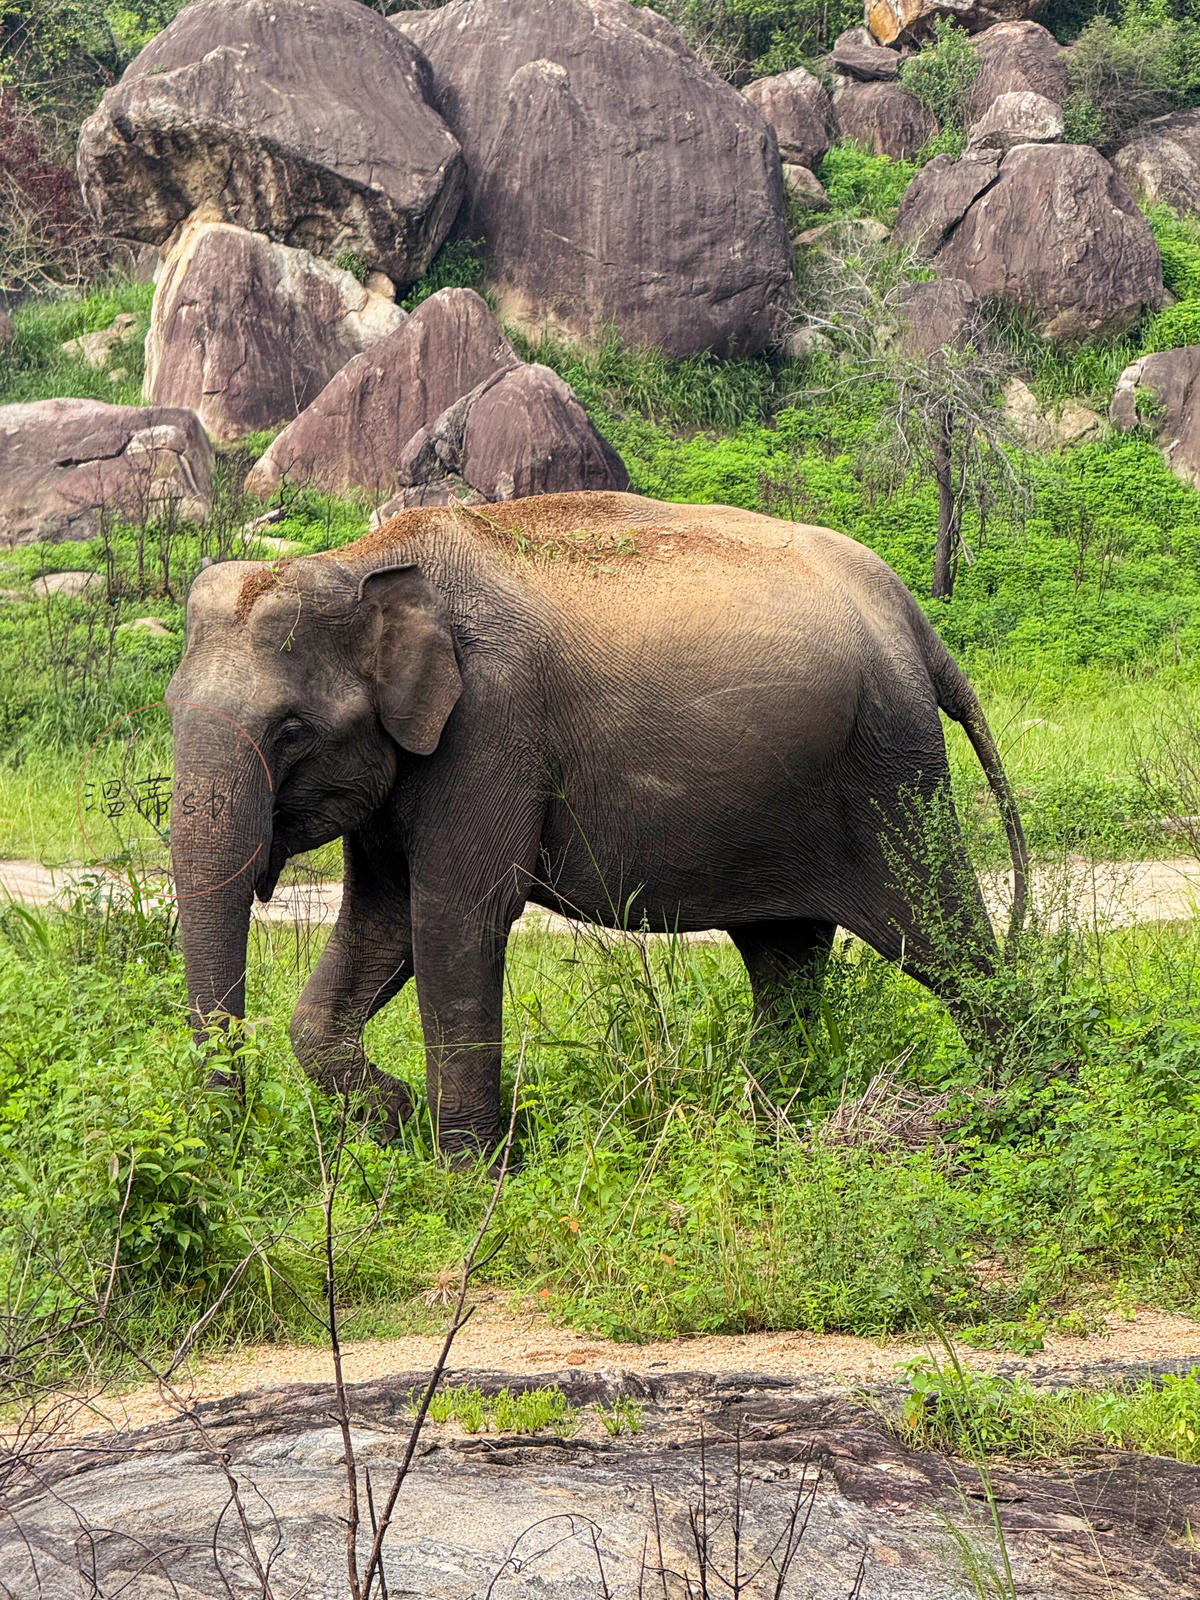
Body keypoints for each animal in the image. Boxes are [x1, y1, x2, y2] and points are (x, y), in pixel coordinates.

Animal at [167, 490, 1028, 1153]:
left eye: (290, 731)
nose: (233, 1138)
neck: (361, 559)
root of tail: (909, 611)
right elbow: (380, 923)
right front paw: (395, 1117)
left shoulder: (492, 728)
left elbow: (454, 918)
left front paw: (468, 1177)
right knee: (784, 960)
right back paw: (766, 1126)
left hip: (891, 766)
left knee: (946, 944)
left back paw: (1009, 1105)